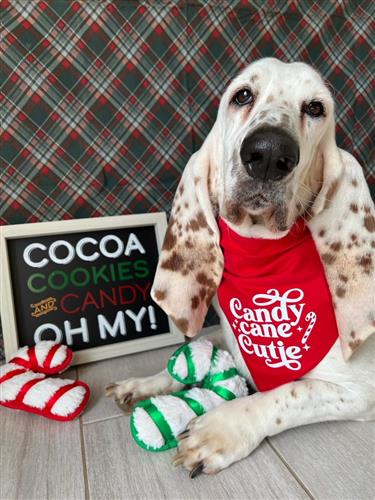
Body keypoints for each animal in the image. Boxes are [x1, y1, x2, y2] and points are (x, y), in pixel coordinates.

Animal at [106, 58, 375, 476]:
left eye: (316, 108)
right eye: (242, 95)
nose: (269, 153)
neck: (260, 252)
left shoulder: (359, 390)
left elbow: (288, 392)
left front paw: (220, 430)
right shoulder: (227, 330)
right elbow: (201, 346)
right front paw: (145, 384)